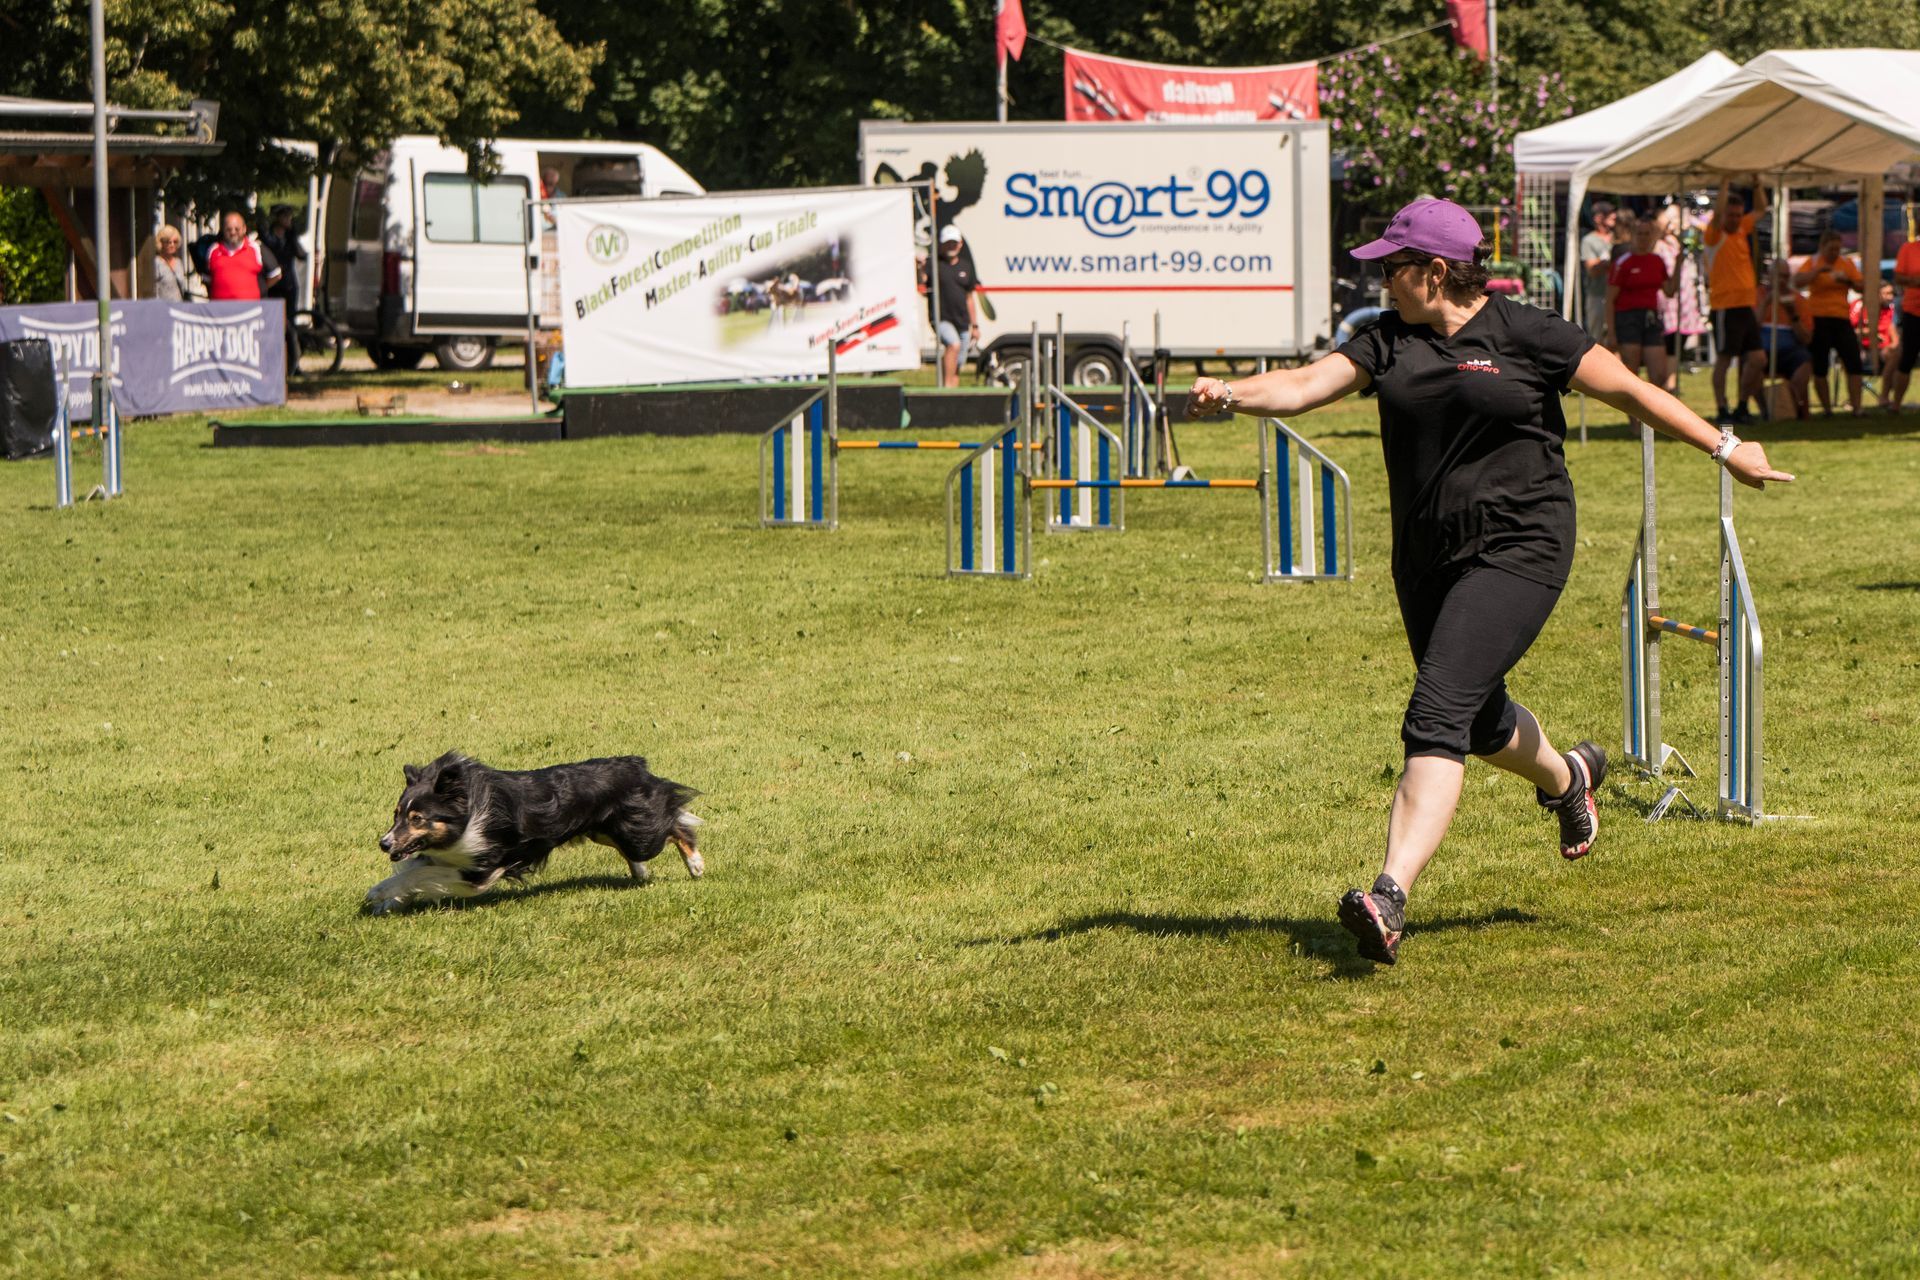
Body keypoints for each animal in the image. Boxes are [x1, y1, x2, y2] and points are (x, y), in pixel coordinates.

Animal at [365, 751, 704, 915]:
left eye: (417, 818)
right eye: (396, 815)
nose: (384, 844)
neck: (467, 815)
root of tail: (635, 764)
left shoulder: (482, 870)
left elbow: (420, 875)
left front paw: (378, 895)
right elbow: (412, 872)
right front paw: (387, 901)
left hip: (638, 834)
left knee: (675, 825)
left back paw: (695, 865)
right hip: (604, 830)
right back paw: (640, 872)